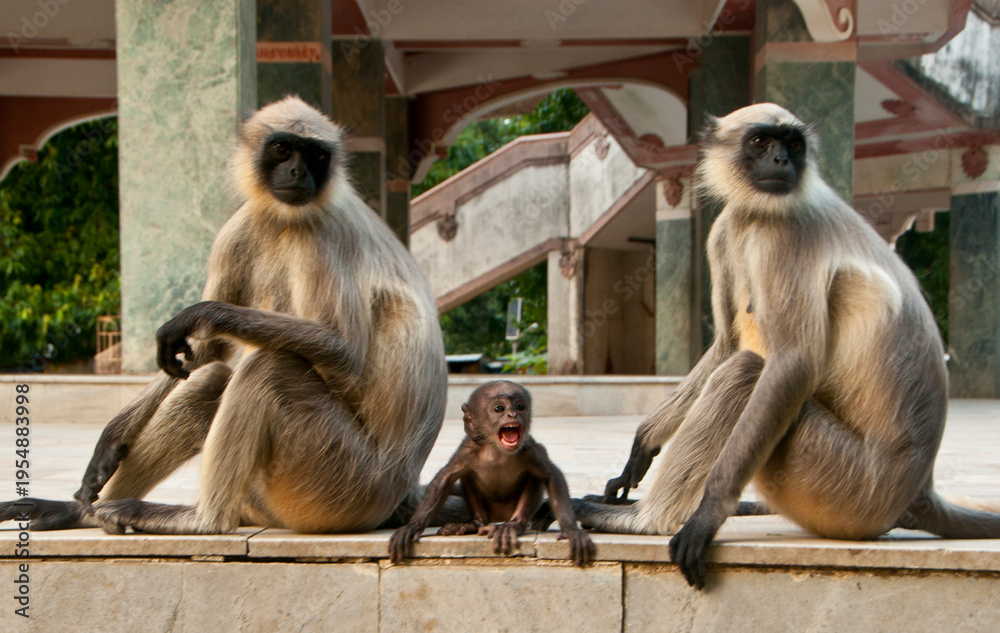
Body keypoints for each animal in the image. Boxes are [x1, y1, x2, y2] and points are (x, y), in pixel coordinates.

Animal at [0, 96, 448, 535]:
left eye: (316, 155)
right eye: (282, 149)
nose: (298, 171)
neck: (283, 218)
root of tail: (402, 493)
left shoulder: (319, 232)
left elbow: (343, 351)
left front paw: (202, 313)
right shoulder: (238, 229)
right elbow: (200, 351)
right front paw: (112, 437)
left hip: (344, 485)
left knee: (268, 367)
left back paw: (203, 521)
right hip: (275, 497)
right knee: (213, 377)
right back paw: (85, 513)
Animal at [388, 381, 594, 566]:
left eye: (520, 406)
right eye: (499, 409)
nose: (513, 414)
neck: (496, 450)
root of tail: (497, 518)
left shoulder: (529, 450)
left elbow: (552, 475)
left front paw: (571, 530)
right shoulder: (468, 449)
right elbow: (446, 477)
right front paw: (412, 526)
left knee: (533, 477)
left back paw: (513, 525)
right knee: (468, 477)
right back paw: (474, 523)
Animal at [567, 103, 1000, 589]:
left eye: (793, 144)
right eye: (761, 142)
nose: (782, 161)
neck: (757, 214)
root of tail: (919, 489)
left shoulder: (785, 233)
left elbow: (792, 363)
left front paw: (706, 514)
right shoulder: (726, 227)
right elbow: (727, 343)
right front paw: (643, 444)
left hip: (849, 486)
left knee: (745, 374)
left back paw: (648, 520)